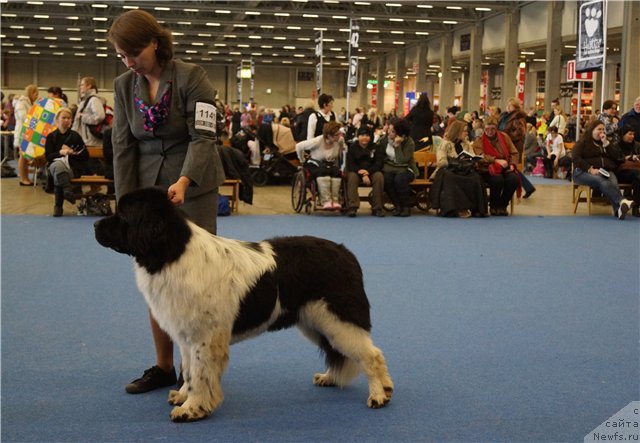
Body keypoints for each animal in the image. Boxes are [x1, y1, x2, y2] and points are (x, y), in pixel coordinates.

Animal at [94, 187, 396, 424]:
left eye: (123, 214)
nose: (95, 225)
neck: (171, 254)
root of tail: (346, 253)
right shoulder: (186, 335)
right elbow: (189, 371)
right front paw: (182, 396)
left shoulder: (204, 337)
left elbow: (200, 374)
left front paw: (192, 409)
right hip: (316, 321)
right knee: (341, 351)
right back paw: (331, 378)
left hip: (337, 318)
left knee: (371, 355)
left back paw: (380, 394)